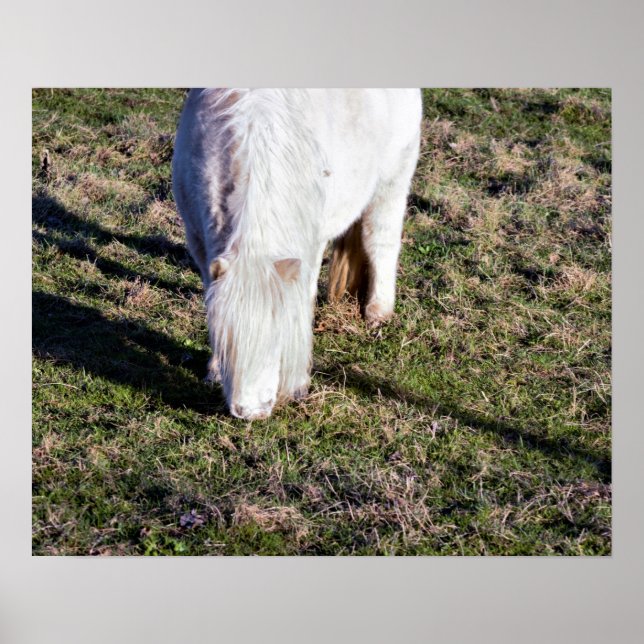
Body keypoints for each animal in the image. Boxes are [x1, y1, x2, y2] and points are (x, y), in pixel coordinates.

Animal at [172, 89, 421, 420]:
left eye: (277, 340)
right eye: (227, 339)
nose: (250, 412)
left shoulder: (310, 248)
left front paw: (299, 384)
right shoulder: (198, 242)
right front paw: (213, 370)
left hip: (392, 179)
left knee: (380, 240)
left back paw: (378, 312)